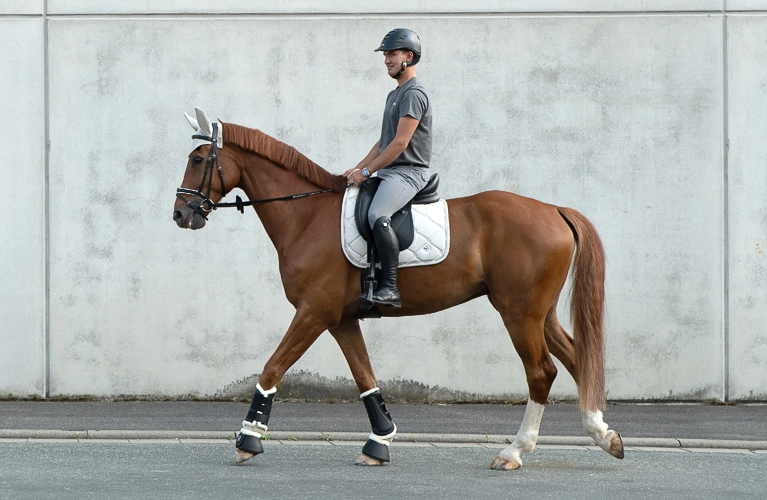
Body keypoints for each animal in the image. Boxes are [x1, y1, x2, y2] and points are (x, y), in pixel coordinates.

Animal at [172, 108, 624, 470]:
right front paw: (379, 442)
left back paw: (513, 452)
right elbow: (365, 378)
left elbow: (272, 367)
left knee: (541, 372)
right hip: (539, 313)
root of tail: (554, 210)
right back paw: (605, 436)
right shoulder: (340, 319)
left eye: (198, 159)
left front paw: (248, 440)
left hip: (519, 313)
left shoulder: (313, 313)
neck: (306, 215)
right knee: (577, 359)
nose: (181, 214)